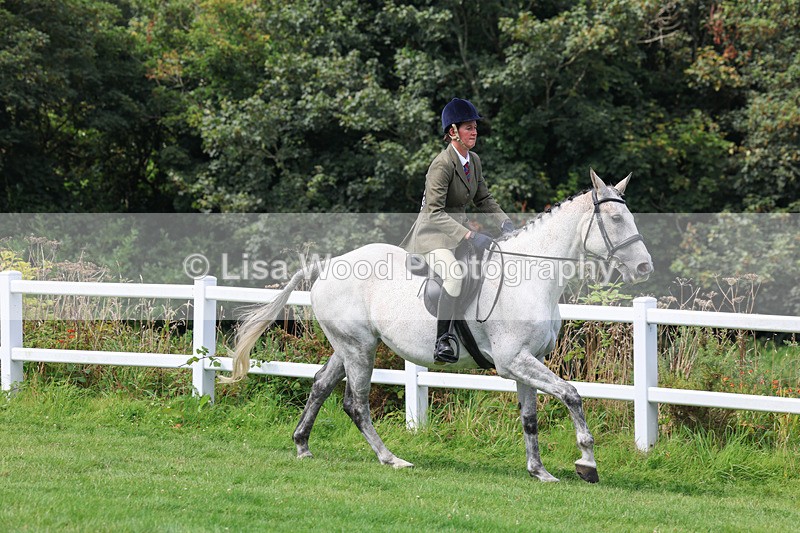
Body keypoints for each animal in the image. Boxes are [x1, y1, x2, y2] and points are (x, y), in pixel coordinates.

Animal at [223, 169, 653, 483]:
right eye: (616, 218)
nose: (644, 267)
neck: (530, 275)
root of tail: (327, 265)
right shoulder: (513, 361)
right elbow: (572, 395)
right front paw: (587, 463)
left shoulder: (527, 361)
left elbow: (530, 418)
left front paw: (539, 471)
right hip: (360, 348)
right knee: (355, 403)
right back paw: (392, 459)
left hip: (348, 345)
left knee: (320, 385)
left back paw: (302, 446)